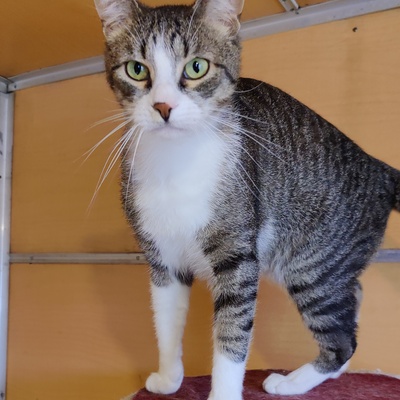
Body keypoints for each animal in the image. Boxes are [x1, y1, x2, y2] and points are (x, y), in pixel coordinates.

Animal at [94, 1, 400, 398]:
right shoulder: (163, 259)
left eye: (196, 67)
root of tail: (378, 168)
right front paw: (169, 377)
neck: (175, 164)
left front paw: (222, 393)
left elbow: (232, 331)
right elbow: (166, 323)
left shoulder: (236, 256)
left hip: (313, 265)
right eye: (136, 69)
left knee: (342, 341)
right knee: (354, 299)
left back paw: (292, 381)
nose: (163, 106)